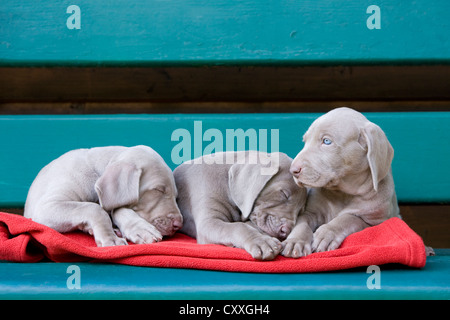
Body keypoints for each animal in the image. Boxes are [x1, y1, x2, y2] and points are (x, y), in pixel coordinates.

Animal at [24, 146, 183, 248]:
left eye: (176, 195)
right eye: (158, 190)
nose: (179, 224)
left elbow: (116, 209)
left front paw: (139, 228)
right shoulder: (47, 207)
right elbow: (95, 209)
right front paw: (110, 238)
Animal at [174, 151, 308, 260]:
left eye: (300, 211)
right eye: (284, 194)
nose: (286, 231)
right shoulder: (208, 223)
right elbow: (238, 227)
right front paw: (261, 241)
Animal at [282, 107, 400, 258]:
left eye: (326, 141)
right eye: (305, 141)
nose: (293, 170)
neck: (342, 193)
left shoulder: (375, 223)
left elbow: (348, 219)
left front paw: (327, 233)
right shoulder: (311, 213)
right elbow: (302, 223)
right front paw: (295, 241)